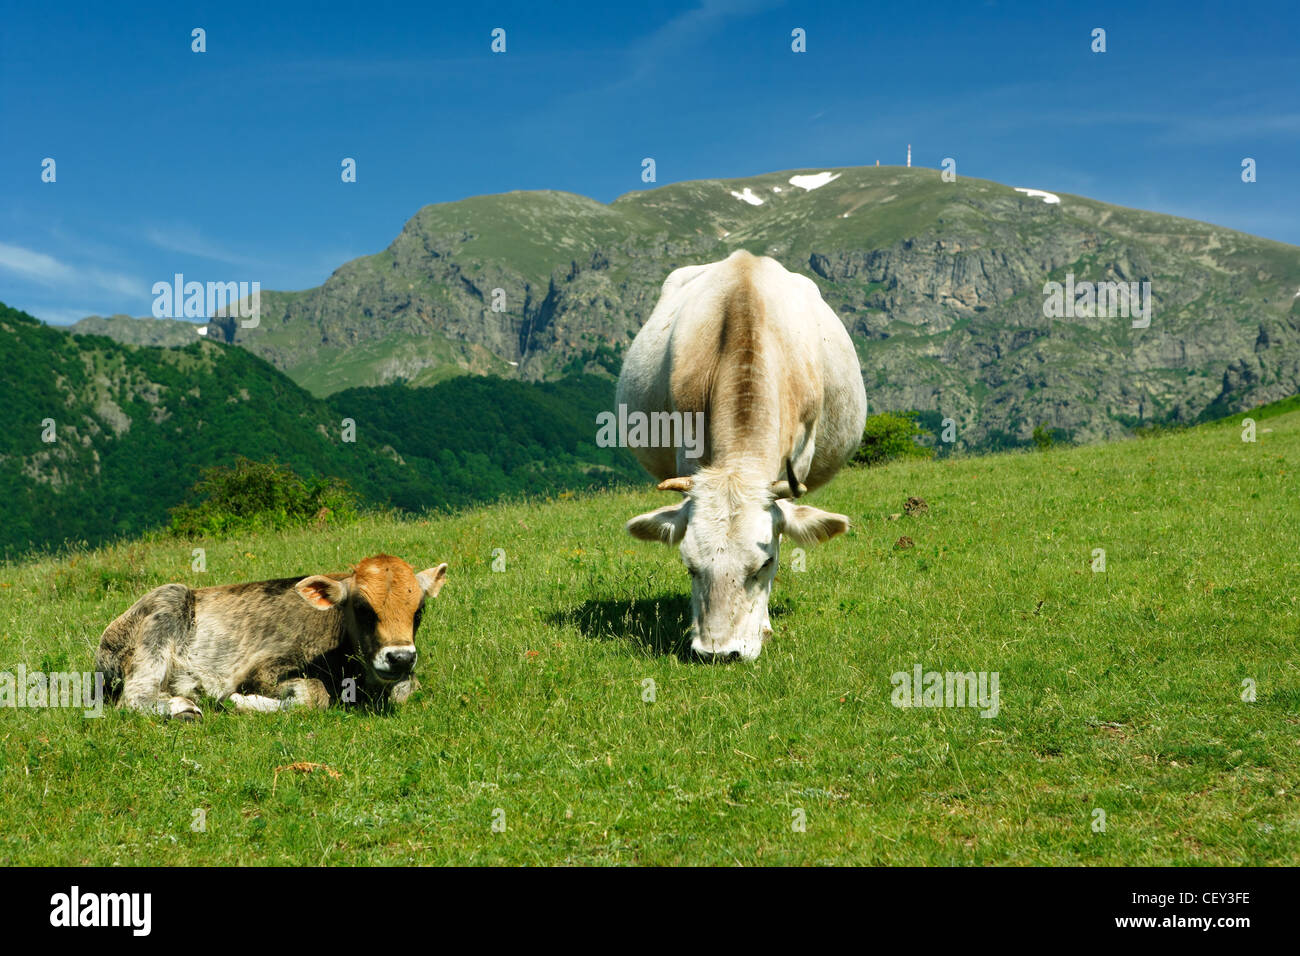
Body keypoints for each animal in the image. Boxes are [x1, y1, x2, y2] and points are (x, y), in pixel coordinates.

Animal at [94, 554, 449, 717]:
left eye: (419, 610)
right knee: (133, 697)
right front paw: (239, 700)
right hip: (164, 609)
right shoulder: (261, 670)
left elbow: (408, 688)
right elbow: (314, 695)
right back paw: (183, 708)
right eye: (362, 608)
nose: (399, 657)